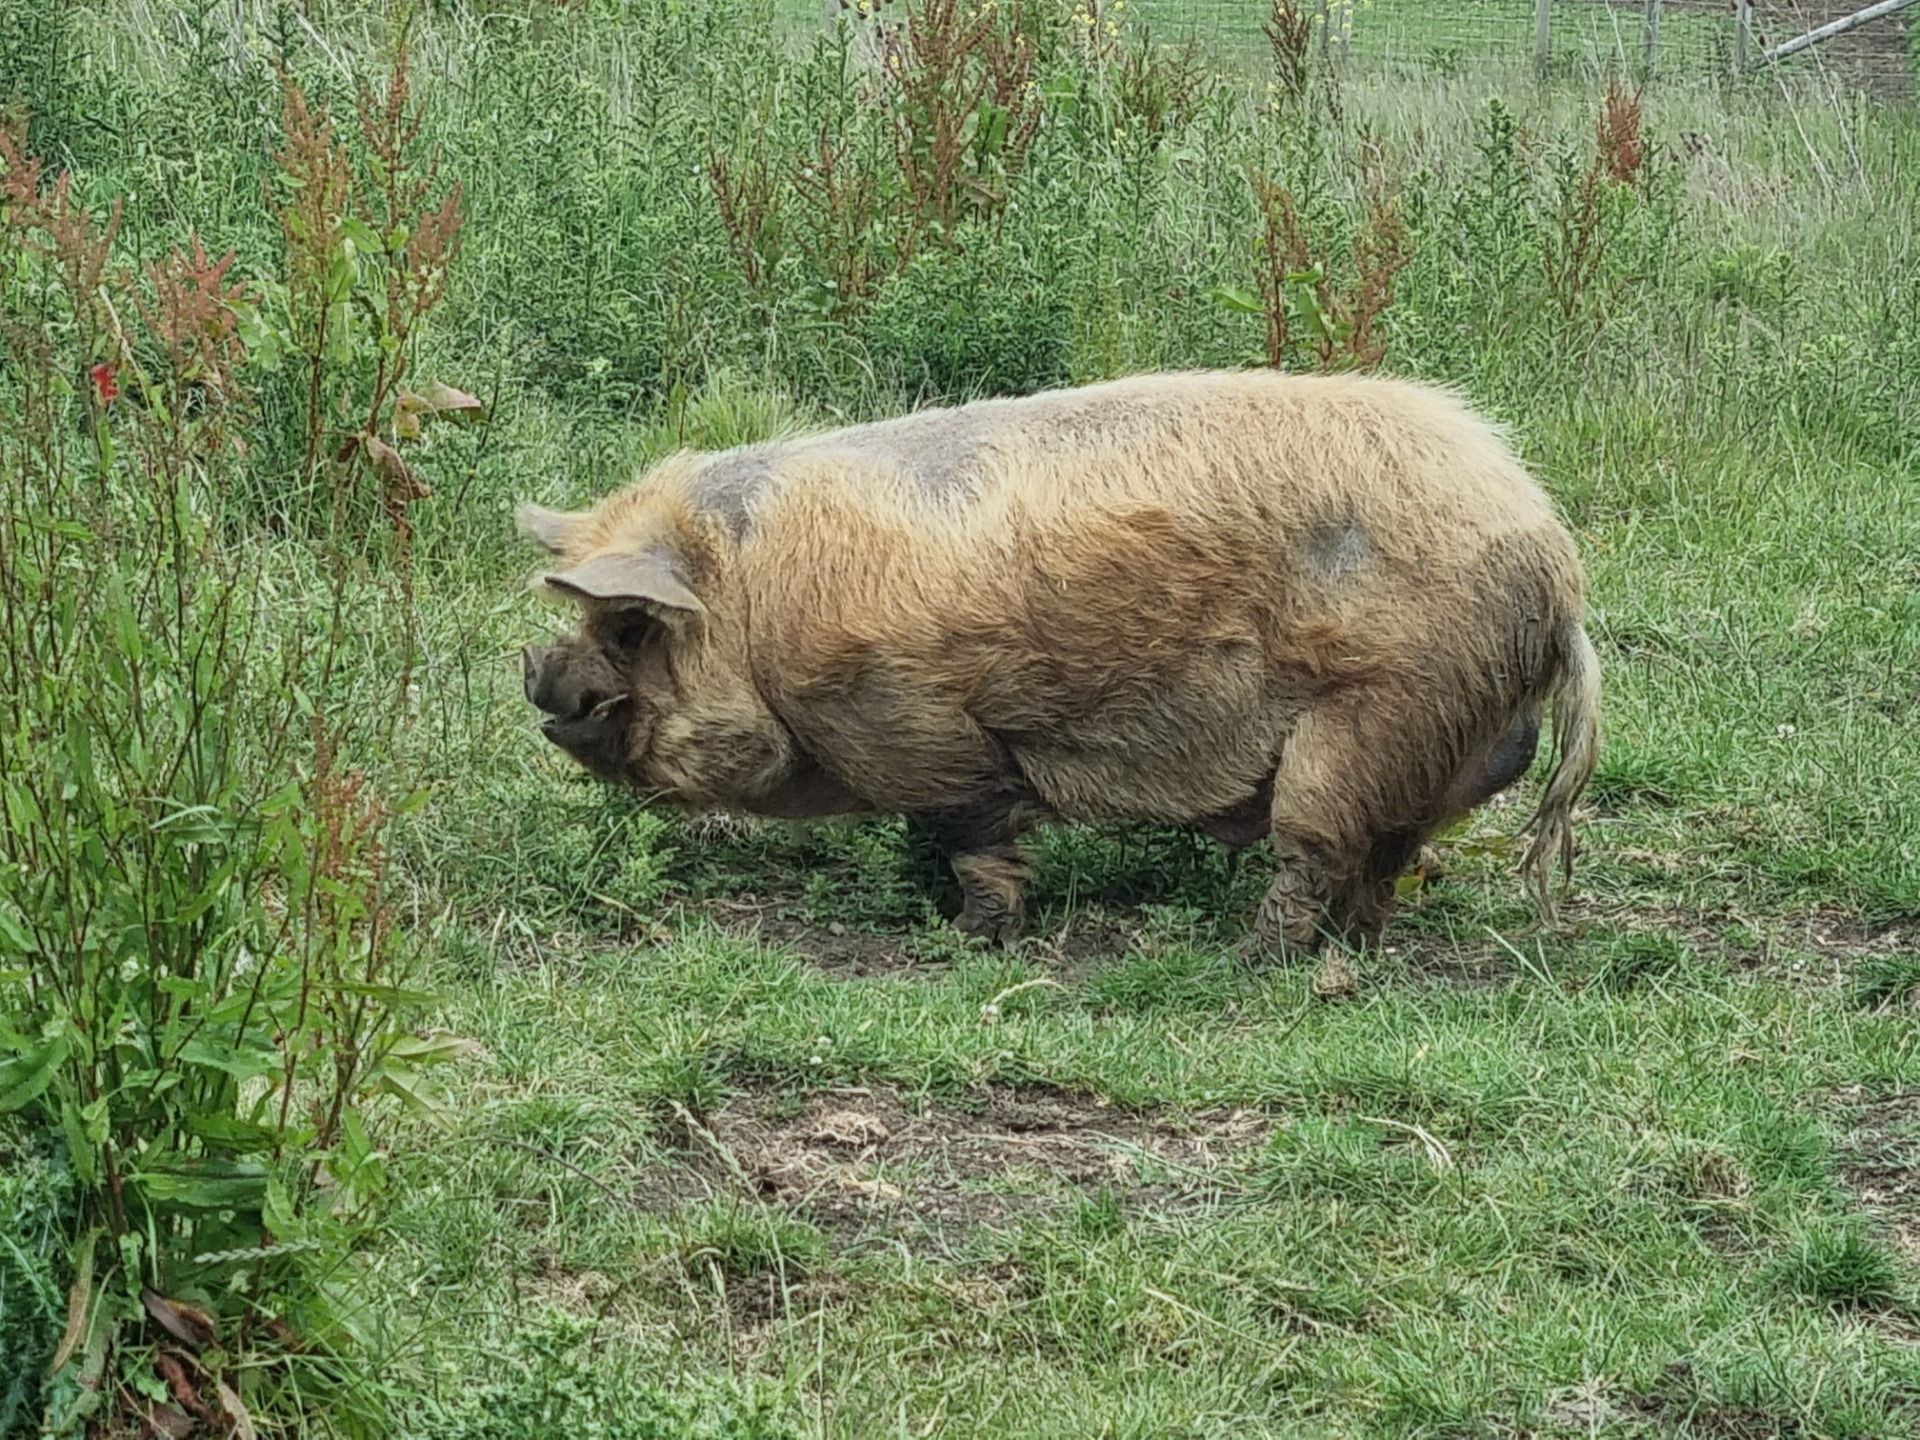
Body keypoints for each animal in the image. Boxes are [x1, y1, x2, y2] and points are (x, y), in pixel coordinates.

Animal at [515, 369, 1600, 955]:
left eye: (629, 629)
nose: (538, 675)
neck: (751, 601)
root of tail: (1553, 558)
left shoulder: (909, 716)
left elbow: (969, 831)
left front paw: (970, 937)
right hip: (1425, 736)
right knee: (1386, 855)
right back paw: (1354, 946)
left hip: (1373, 713)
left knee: (1320, 849)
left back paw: (1252, 958)